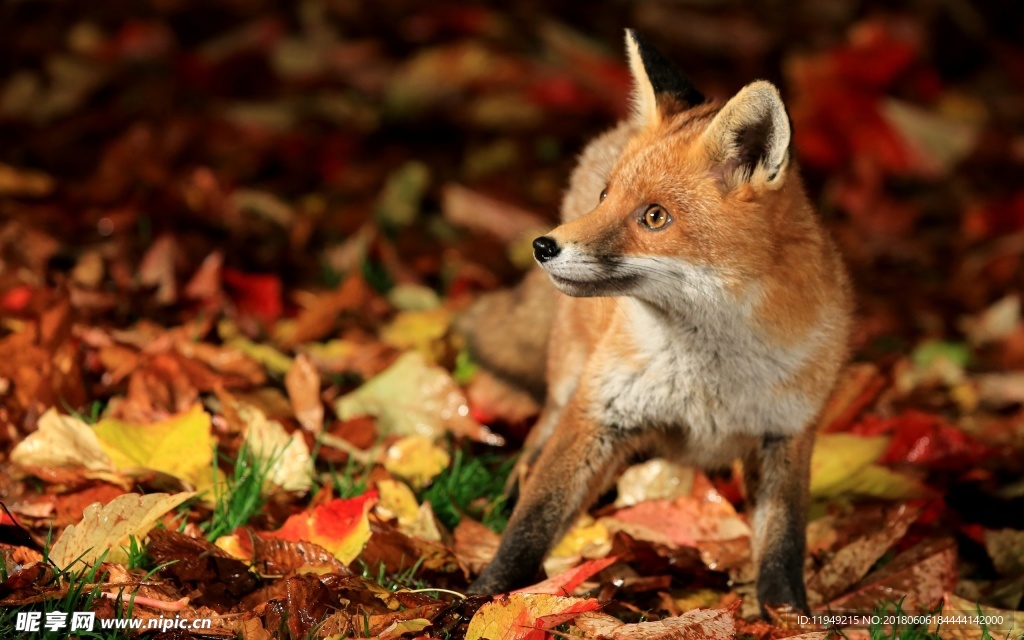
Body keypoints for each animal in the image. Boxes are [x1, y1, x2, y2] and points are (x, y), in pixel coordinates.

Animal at [460, 31, 851, 614]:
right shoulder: (598, 411)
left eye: (654, 217)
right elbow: (534, 521)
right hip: (571, 375)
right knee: (538, 438)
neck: (710, 377)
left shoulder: (787, 433)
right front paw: (482, 599)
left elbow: (783, 547)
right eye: (606, 196)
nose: (543, 246)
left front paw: (789, 616)